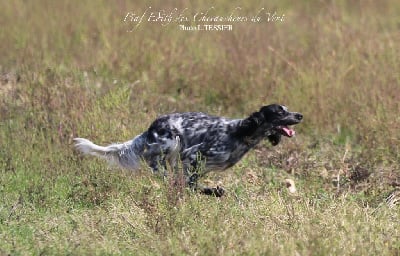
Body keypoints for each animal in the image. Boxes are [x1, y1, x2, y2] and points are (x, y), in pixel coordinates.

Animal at [73, 104, 302, 196]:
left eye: (287, 109)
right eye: (279, 111)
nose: (300, 115)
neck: (241, 133)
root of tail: (149, 129)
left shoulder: (200, 165)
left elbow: (190, 184)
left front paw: (213, 191)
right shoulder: (191, 155)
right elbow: (188, 184)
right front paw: (214, 191)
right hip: (171, 145)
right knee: (166, 175)